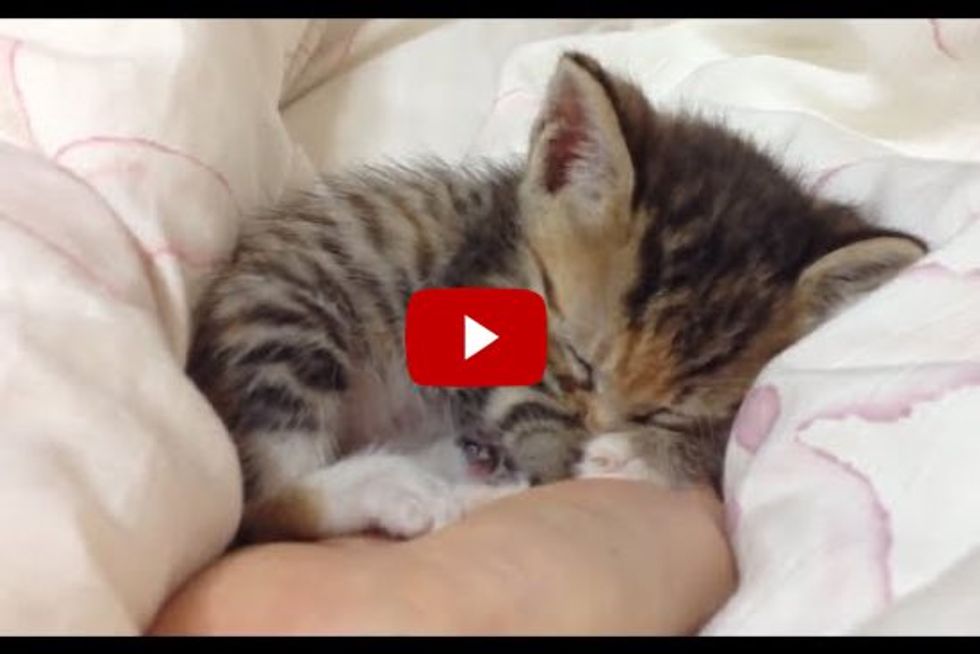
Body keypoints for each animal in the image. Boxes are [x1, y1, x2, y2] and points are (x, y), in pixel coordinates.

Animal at [186, 50, 928, 544]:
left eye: (664, 410)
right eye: (576, 360)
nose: (603, 430)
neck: (511, 232)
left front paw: (644, 453)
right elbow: (533, 422)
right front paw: (591, 458)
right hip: (290, 317)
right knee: (264, 503)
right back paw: (400, 492)